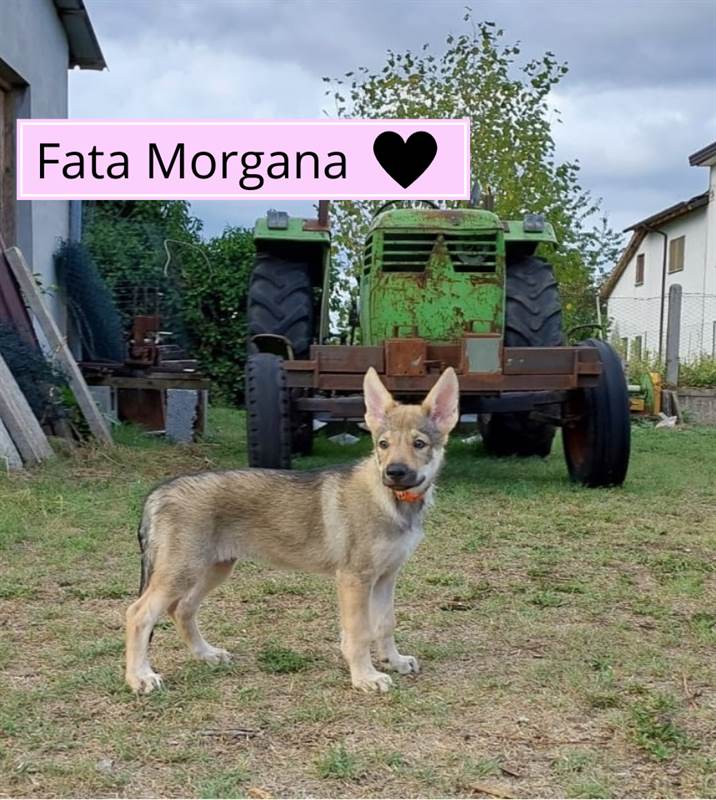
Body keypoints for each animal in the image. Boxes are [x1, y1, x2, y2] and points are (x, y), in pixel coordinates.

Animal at [125, 366, 459, 694]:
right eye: (383, 444)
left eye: (419, 444)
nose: (394, 472)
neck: (392, 502)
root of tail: (157, 493)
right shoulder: (355, 579)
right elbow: (360, 633)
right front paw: (365, 677)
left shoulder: (386, 577)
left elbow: (385, 624)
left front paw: (395, 661)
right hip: (181, 573)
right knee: (138, 613)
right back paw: (140, 677)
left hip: (212, 570)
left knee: (181, 610)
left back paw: (207, 654)